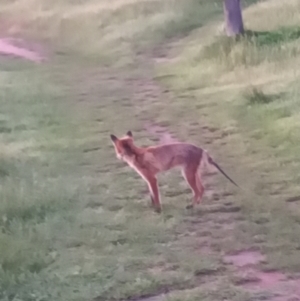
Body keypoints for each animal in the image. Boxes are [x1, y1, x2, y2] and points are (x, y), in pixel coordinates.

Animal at [110, 130, 239, 212]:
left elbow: (156, 196)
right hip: (193, 173)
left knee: (197, 191)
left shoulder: (152, 179)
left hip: (187, 175)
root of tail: (201, 148)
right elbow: (151, 196)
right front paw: (153, 208)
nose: (118, 156)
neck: (136, 154)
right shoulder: (148, 179)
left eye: (118, 148)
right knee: (202, 189)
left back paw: (192, 206)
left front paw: (158, 210)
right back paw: (197, 204)